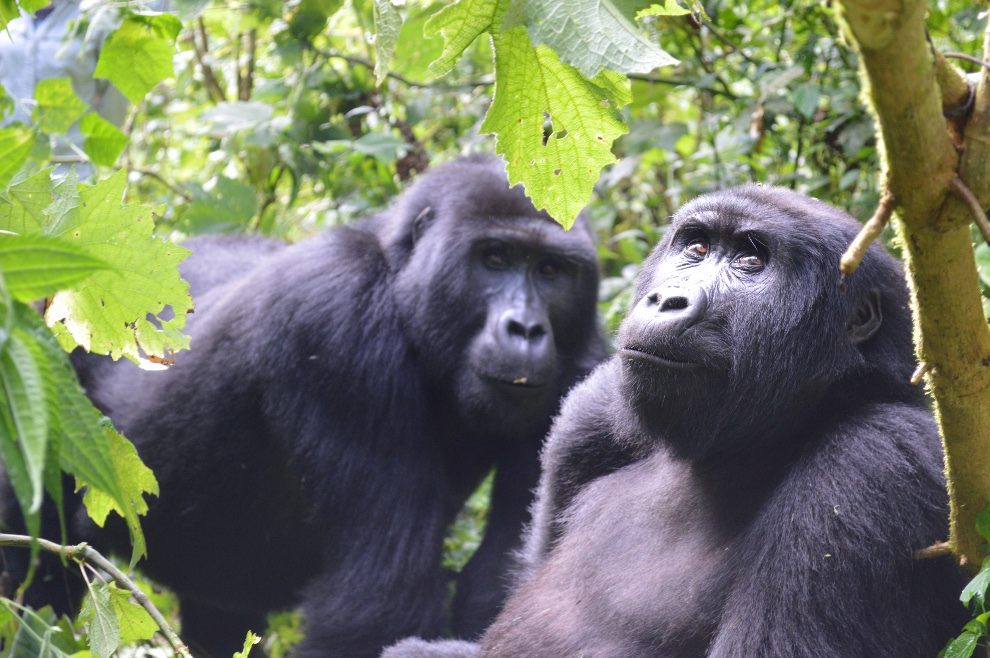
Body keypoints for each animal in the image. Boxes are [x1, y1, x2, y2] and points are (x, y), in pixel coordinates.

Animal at [9, 155, 612, 656]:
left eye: (552, 272)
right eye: (495, 258)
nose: (527, 329)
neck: (397, 282)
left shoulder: (585, 373)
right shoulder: (337, 318)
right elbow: (377, 604)